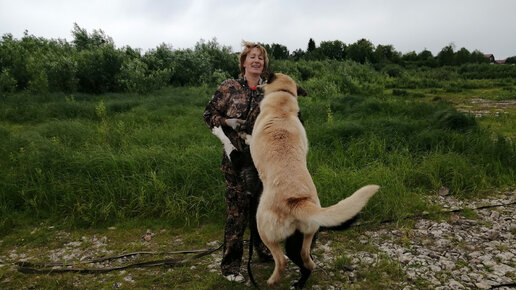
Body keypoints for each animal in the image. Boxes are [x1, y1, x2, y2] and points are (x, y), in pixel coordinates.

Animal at [246, 73, 378, 286]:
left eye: (265, 79)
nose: (257, 87)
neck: (283, 99)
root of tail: (296, 202)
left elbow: (248, 137)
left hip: (264, 230)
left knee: (281, 260)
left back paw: (272, 281)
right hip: (308, 232)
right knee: (307, 258)